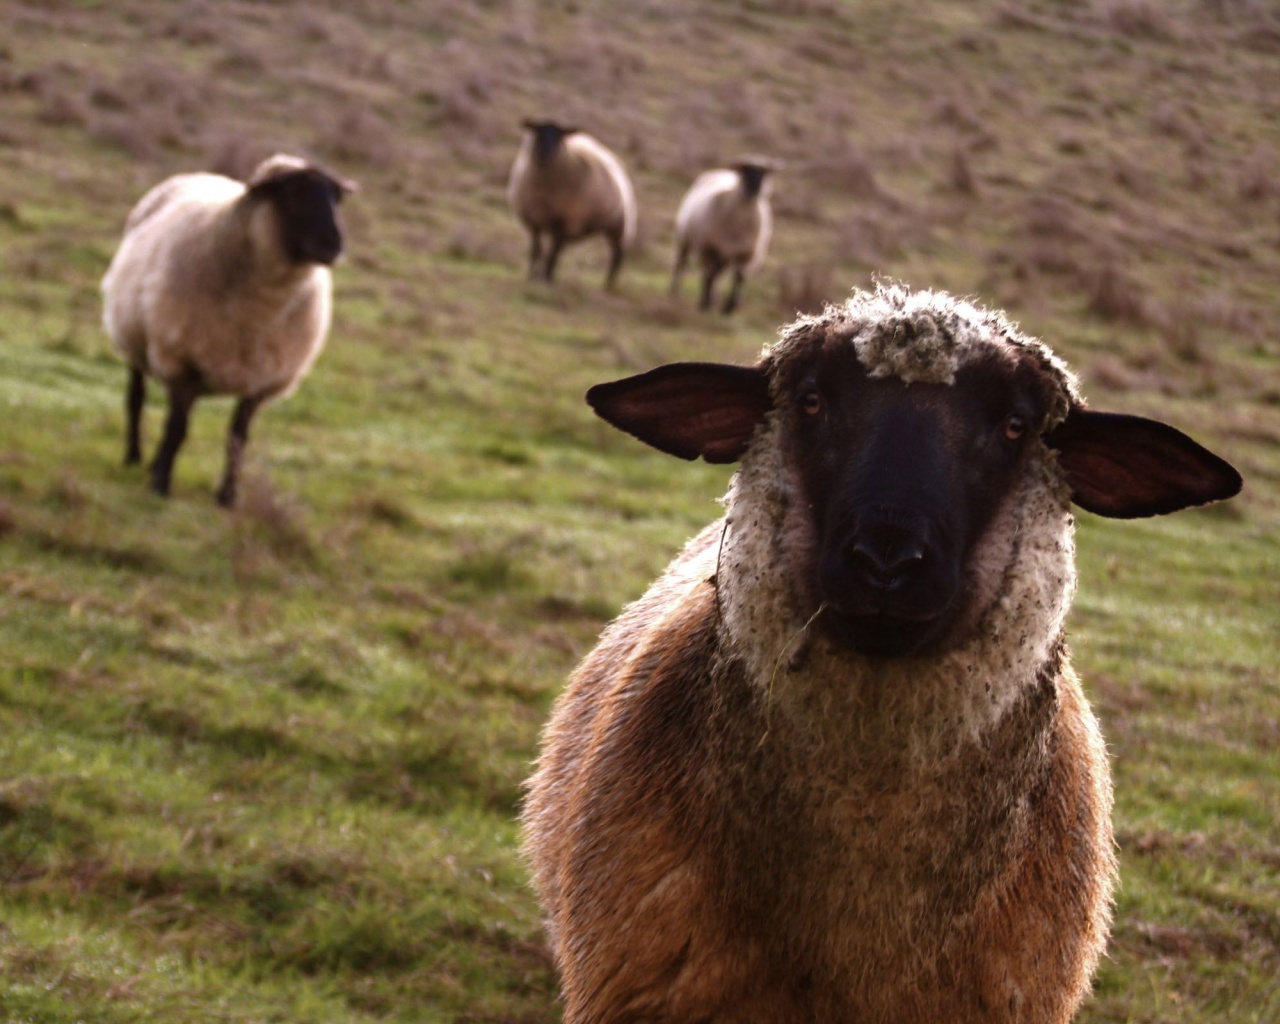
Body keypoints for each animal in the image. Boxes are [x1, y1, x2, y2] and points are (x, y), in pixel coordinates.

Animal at [99, 154, 355, 506]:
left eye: (336, 198)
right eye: (294, 193)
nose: (334, 245)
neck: (260, 308)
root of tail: (199, 173)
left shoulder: (260, 378)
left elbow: (237, 438)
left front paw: (227, 497)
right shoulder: (182, 362)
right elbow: (177, 428)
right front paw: (161, 484)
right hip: (134, 341)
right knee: (136, 399)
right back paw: (134, 457)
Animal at [675, 158, 773, 312]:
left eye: (763, 173)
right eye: (745, 171)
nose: (755, 189)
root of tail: (721, 171)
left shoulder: (747, 253)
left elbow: (739, 277)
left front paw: (730, 306)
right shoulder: (709, 248)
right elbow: (709, 274)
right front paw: (705, 302)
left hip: (723, 255)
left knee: (717, 273)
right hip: (685, 238)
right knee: (682, 264)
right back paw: (675, 291)